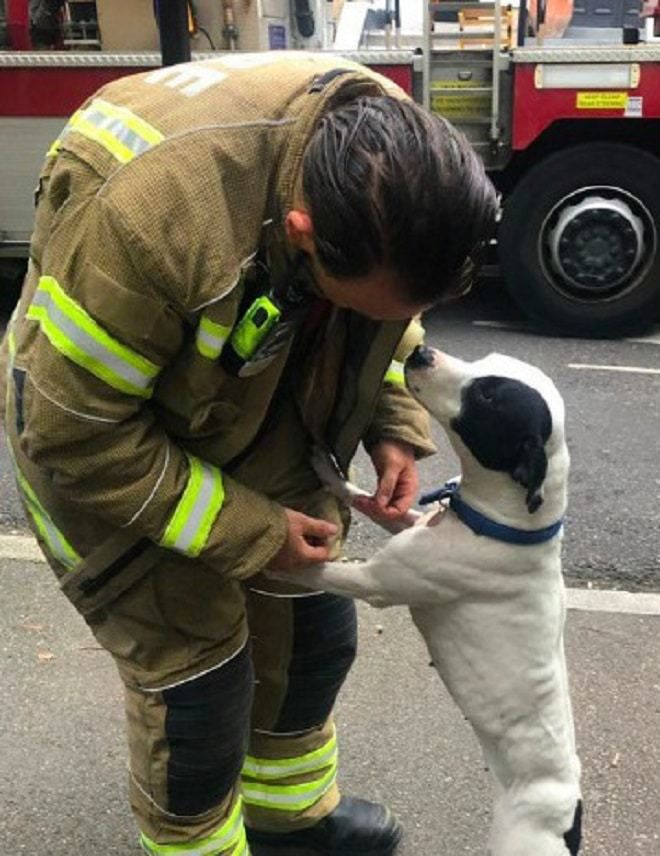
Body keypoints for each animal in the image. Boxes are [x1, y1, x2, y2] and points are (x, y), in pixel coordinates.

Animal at [278, 348, 584, 856]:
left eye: (488, 395)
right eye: (490, 359)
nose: (420, 352)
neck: (507, 527)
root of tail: (569, 819)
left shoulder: (374, 581)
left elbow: (309, 569)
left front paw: (262, 555)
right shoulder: (407, 522)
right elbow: (371, 501)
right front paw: (330, 474)